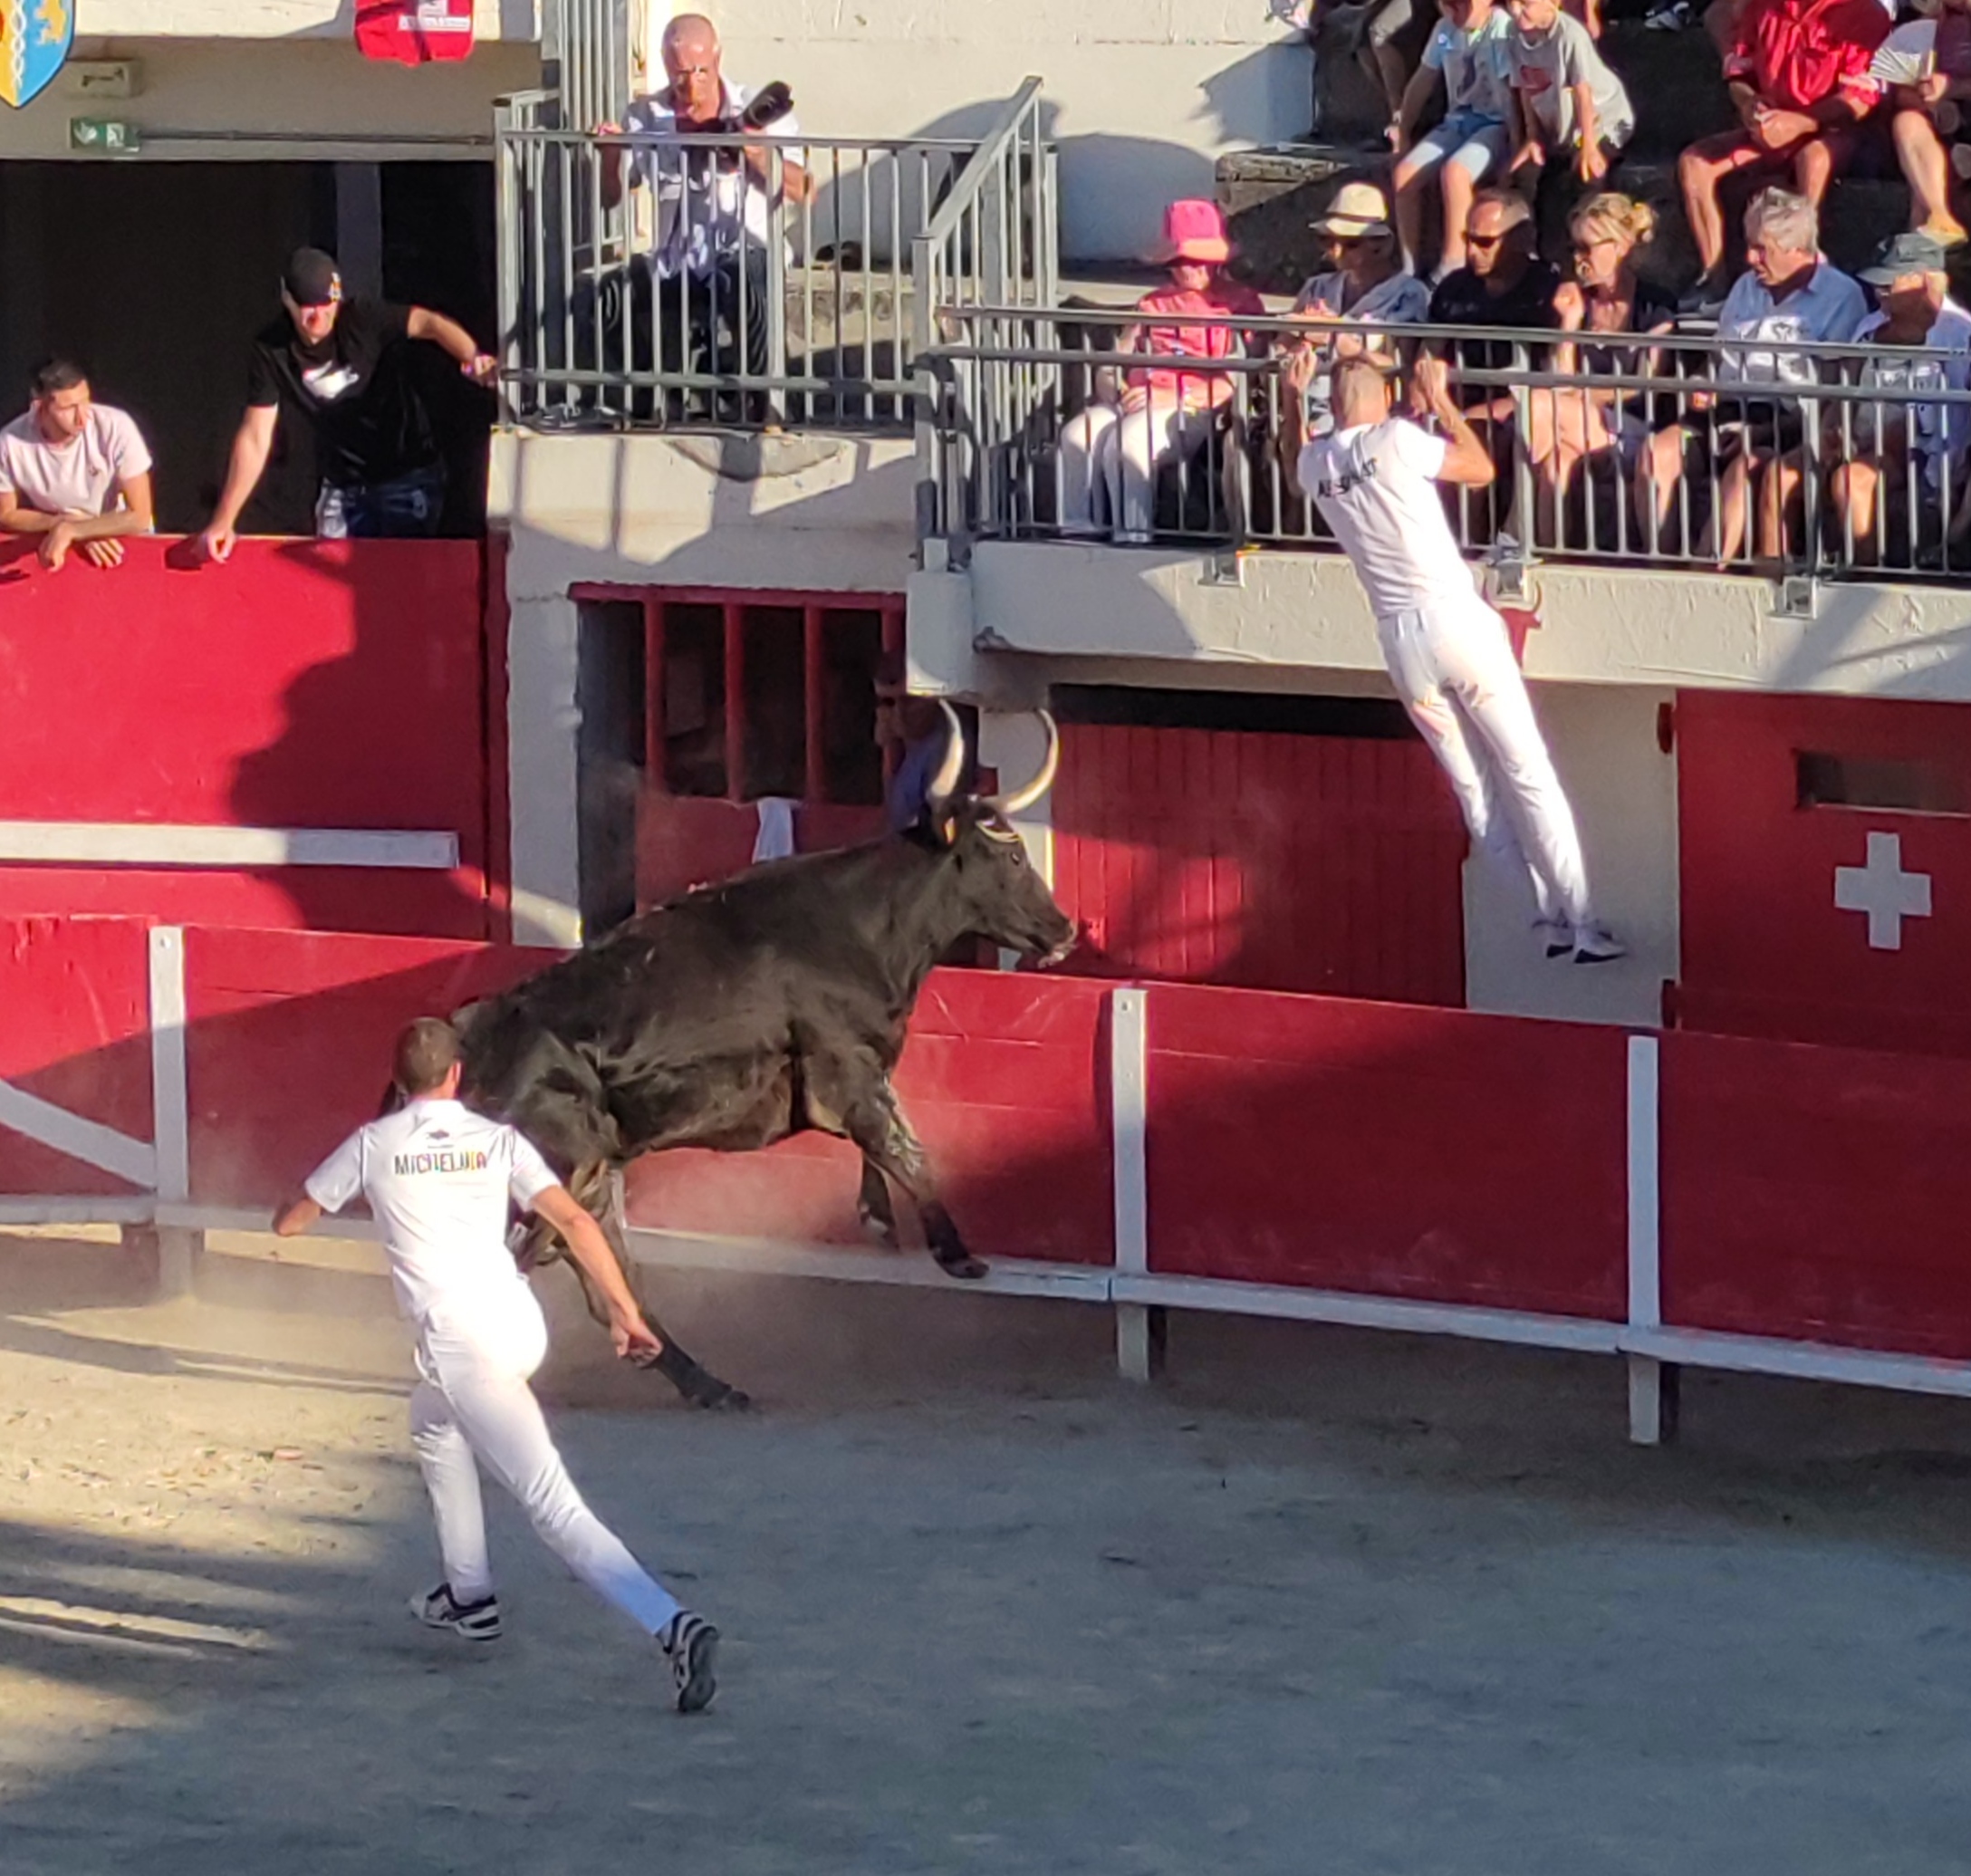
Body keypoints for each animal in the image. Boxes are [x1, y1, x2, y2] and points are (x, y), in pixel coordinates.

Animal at [451, 706, 1075, 1409]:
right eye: (1012, 854)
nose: (1064, 930)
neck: (865, 925)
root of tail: (471, 1042)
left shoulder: (859, 1072)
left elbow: (886, 1143)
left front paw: (878, 1218)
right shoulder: (847, 1065)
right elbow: (903, 1145)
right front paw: (956, 1253)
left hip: (585, 1183)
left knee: (605, 1278)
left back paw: (709, 1386)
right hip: (556, 1172)